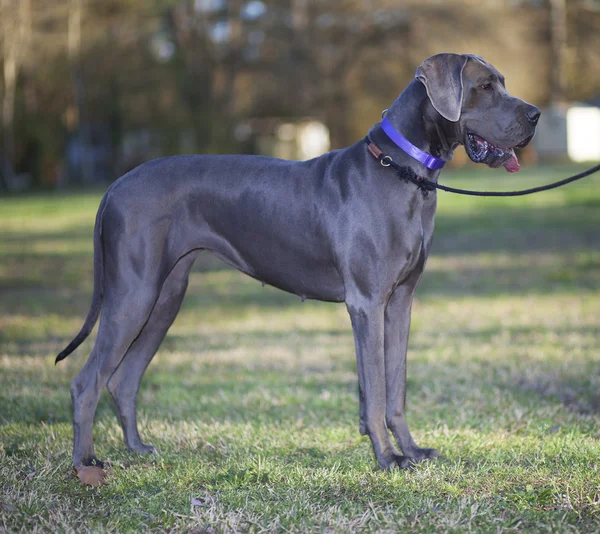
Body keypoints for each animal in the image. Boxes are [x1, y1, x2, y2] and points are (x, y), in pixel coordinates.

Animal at [57, 54, 540, 472]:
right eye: (484, 86)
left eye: (503, 82)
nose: (535, 115)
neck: (403, 170)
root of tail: (115, 186)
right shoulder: (367, 303)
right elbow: (375, 389)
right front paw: (387, 458)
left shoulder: (400, 302)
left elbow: (395, 386)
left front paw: (411, 450)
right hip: (133, 294)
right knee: (86, 382)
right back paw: (85, 464)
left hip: (165, 297)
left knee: (122, 379)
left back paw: (138, 450)